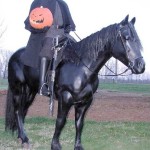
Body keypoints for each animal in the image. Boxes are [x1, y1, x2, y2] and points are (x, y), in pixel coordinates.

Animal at [5, 15, 145, 150]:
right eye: (126, 37)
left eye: (137, 39)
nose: (141, 66)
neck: (81, 68)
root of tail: (14, 56)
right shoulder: (65, 97)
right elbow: (61, 121)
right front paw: (55, 145)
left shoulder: (85, 102)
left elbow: (79, 123)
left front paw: (78, 146)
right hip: (18, 90)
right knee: (18, 111)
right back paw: (24, 139)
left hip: (30, 92)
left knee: (23, 111)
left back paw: (21, 137)